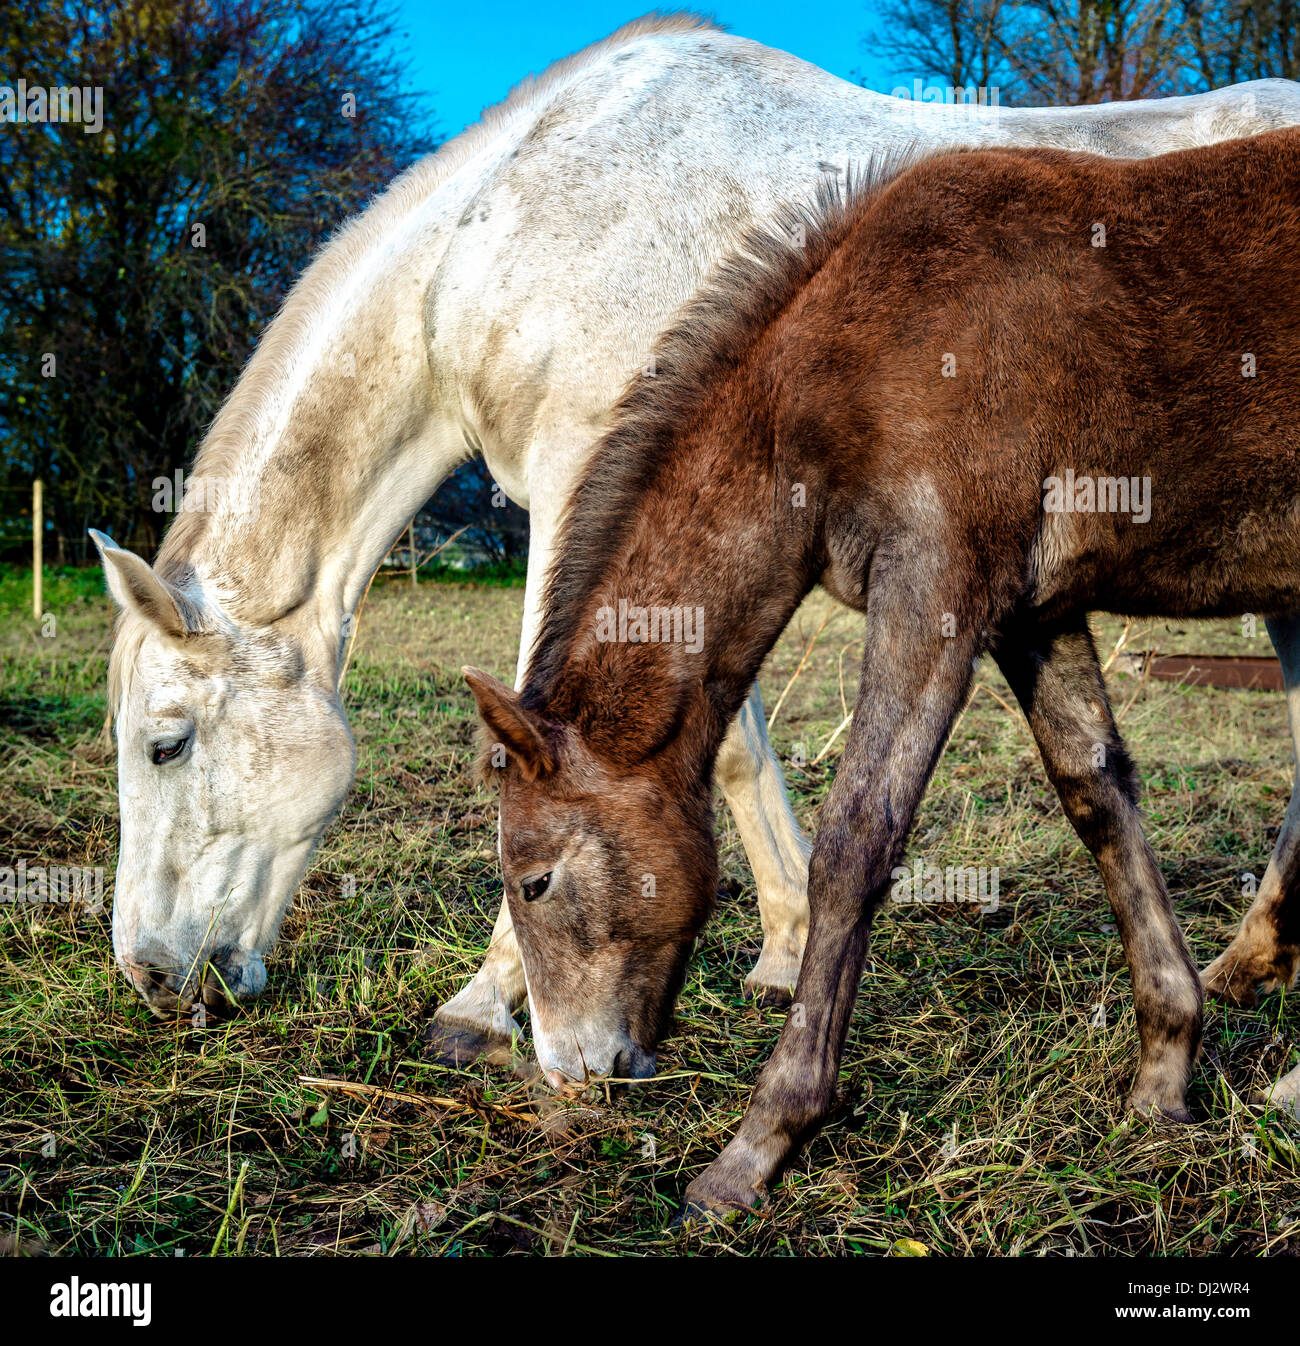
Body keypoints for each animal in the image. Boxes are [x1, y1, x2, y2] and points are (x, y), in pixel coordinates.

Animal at [93, 13, 1300, 1072]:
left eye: (166, 744)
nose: (149, 976)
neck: (514, 221)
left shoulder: (585, 480)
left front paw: (488, 1002)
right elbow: (727, 745)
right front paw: (782, 946)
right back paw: (1248, 961)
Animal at [465, 126, 1300, 1216]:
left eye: (535, 880)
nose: (572, 1069)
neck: (849, 365)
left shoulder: (936, 583)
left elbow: (857, 837)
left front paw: (761, 1141)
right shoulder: (1032, 611)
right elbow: (1097, 794)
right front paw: (1164, 1075)